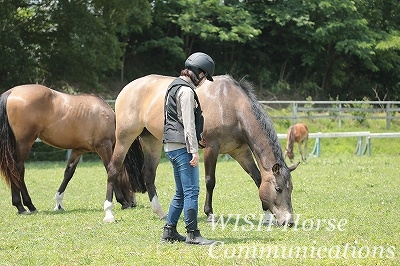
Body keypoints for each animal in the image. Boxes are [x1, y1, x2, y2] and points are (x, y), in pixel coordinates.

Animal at [0, 84, 144, 215]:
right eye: (132, 181)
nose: (133, 203)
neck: (107, 117)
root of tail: (10, 93)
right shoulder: (104, 146)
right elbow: (111, 169)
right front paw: (122, 201)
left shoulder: (77, 150)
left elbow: (68, 173)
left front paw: (58, 203)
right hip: (25, 143)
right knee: (17, 169)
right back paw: (22, 206)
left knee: (19, 171)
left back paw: (28, 205)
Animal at [104, 74, 298, 225]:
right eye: (278, 189)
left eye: (291, 189)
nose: (288, 221)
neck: (230, 105)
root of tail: (128, 88)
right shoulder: (211, 148)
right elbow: (210, 181)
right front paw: (210, 214)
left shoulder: (240, 152)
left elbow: (258, 179)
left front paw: (267, 216)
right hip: (124, 138)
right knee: (113, 169)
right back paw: (109, 213)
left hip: (152, 141)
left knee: (148, 175)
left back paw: (160, 212)